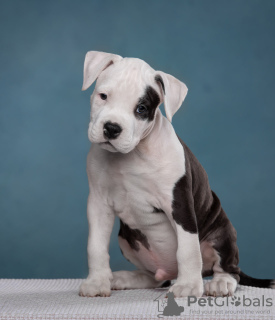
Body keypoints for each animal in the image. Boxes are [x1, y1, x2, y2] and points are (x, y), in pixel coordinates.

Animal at [78, 50, 274, 298]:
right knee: (155, 278)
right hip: (126, 239)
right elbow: (95, 245)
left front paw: (189, 285)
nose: (112, 128)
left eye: (141, 109)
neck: (133, 154)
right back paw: (127, 277)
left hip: (222, 232)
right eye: (103, 96)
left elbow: (188, 250)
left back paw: (220, 282)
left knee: (229, 268)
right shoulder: (98, 203)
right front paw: (97, 281)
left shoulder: (179, 204)